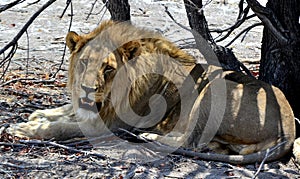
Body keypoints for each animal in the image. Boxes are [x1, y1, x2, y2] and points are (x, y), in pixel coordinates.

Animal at [7, 20, 296, 164]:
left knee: (189, 141)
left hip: (213, 90)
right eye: (84, 62)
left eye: (108, 69)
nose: (88, 89)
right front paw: (38, 115)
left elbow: (64, 127)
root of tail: (289, 128)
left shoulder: (110, 123)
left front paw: (23, 128)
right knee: (208, 145)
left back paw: (148, 136)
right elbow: (66, 110)